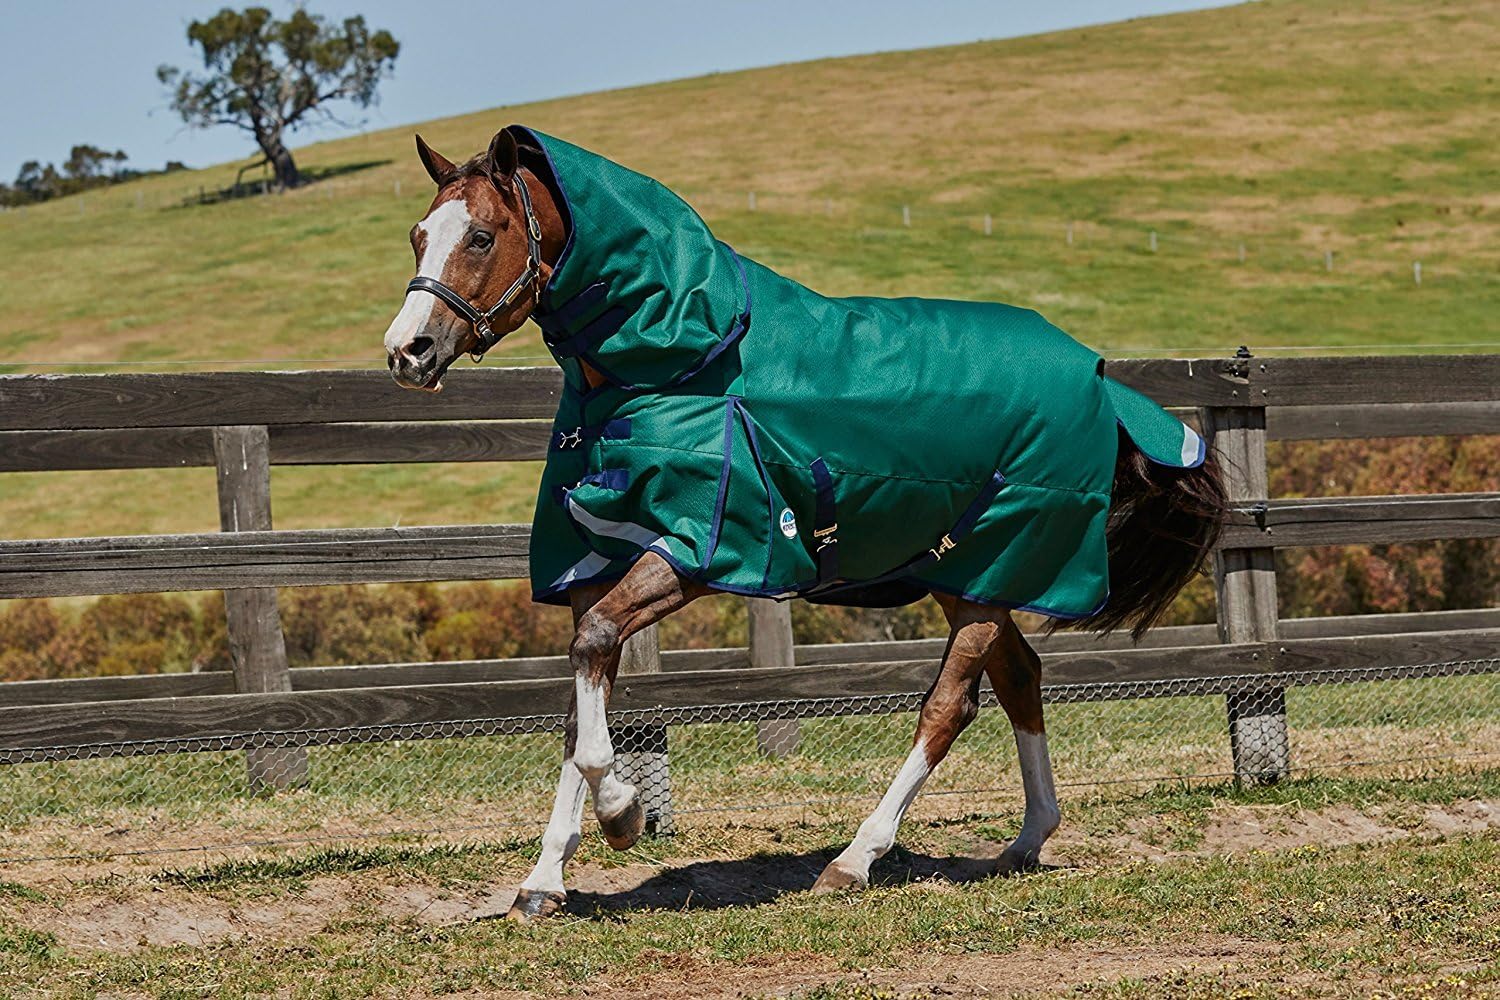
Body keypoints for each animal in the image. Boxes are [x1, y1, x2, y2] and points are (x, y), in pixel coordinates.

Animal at [383, 126, 1227, 922]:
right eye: (419, 234)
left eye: (481, 235)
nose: (406, 352)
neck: (671, 364)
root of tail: (1101, 379)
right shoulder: (593, 562)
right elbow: (579, 695)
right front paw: (542, 882)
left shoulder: (698, 548)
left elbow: (590, 666)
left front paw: (623, 813)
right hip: (964, 574)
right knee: (1020, 678)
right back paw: (1025, 840)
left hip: (993, 565)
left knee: (949, 707)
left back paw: (855, 860)